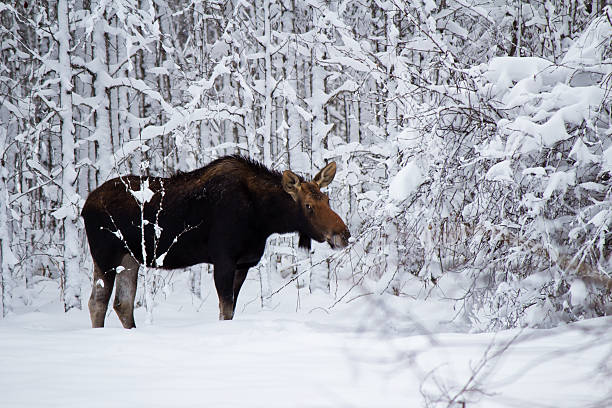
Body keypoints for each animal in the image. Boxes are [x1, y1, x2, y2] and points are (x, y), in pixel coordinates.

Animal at [82, 154, 350, 328]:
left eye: (327, 199)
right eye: (309, 205)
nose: (343, 234)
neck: (264, 219)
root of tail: (85, 206)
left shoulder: (243, 264)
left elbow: (230, 310)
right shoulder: (224, 259)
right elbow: (226, 310)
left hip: (129, 259)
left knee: (122, 304)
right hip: (105, 255)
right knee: (98, 302)